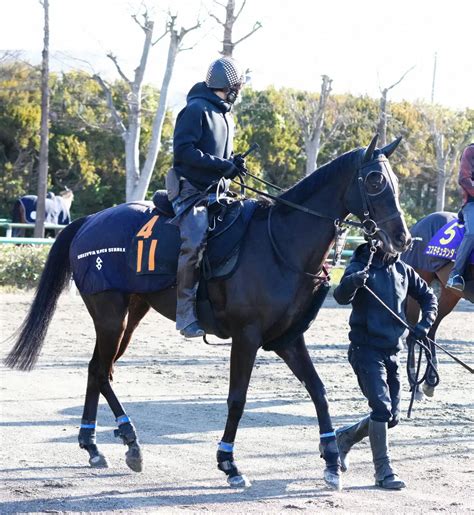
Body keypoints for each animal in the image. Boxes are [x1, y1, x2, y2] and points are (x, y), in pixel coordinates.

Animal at [3, 137, 412, 492]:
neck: (279, 243)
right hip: (109, 315)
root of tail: (88, 222)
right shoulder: (247, 337)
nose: (402, 238)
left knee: (95, 369)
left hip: (129, 315)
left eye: (396, 181)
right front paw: (229, 463)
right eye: (375, 181)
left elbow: (318, 391)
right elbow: (237, 399)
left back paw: (92, 444)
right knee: (102, 372)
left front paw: (330, 460)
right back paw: (130, 439)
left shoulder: (287, 339)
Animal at [402, 212, 472, 398]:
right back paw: (416, 385)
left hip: (449, 294)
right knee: (413, 332)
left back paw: (430, 379)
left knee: (431, 331)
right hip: (418, 282)